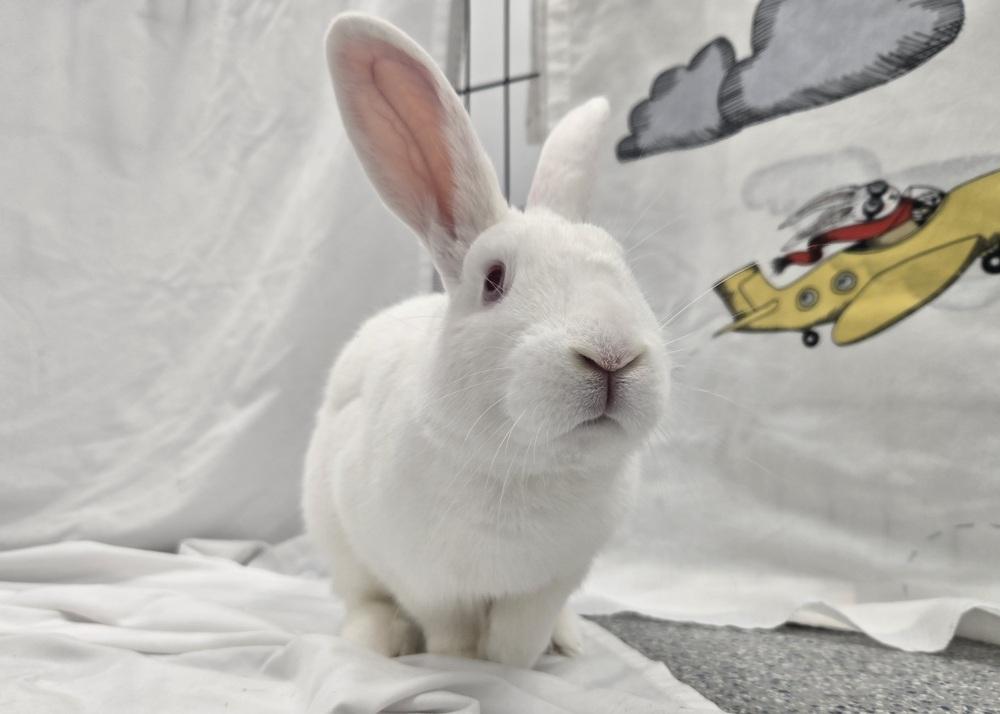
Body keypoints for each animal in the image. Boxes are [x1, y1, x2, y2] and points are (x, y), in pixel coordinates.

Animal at [301, 12, 670, 669]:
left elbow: (518, 636)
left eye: (620, 267)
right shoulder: (429, 583)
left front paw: (514, 664)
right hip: (338, 539)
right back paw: (379, 640)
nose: (612, 355)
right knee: (362, 598)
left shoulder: (550, 583)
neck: (528, 468)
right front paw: (460, 667)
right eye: (494, 280)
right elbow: (451, 631)